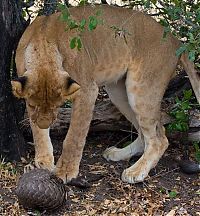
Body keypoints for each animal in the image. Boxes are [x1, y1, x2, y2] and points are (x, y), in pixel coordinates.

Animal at [11, 5, 200, 183]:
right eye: (32, 105)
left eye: (59, 105)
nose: (45, 124)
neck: (43, 44)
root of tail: (176, 41)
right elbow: (37, 132)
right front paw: (43, 161)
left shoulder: (87, 90)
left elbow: (74, 136)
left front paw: (65, 171)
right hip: (119, 93)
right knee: (144, 133)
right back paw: (118, 154)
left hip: (141, 88)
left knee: (159, 138)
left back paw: (136, 172)